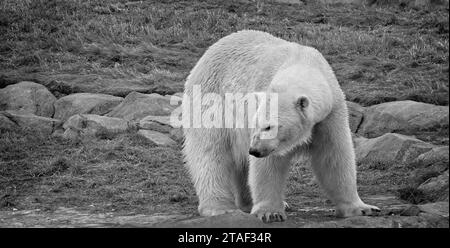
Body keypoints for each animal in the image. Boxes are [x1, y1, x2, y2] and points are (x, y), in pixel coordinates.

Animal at [181, 29, 378, 223]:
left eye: (269, 126)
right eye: (257, 124)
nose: (254, 150)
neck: (302, 63)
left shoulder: (330, 113)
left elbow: (333, 156)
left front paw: (362, 209)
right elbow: (268, 166)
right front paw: (271, 212)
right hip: (212, 99)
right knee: (211, 152)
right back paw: (220, 208)